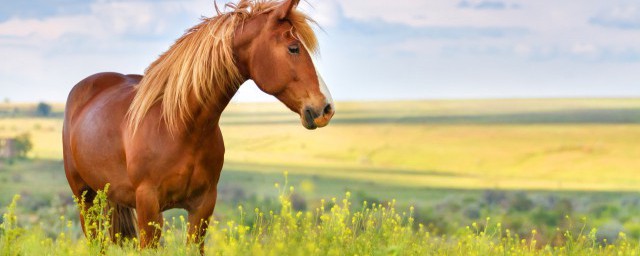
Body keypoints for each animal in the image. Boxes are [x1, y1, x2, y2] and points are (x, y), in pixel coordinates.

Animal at [61, 0, 336, 251]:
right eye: (293, 48)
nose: (326, 108)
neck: (179, 127)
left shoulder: (203, 207)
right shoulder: (148, 207)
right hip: (85, 199)